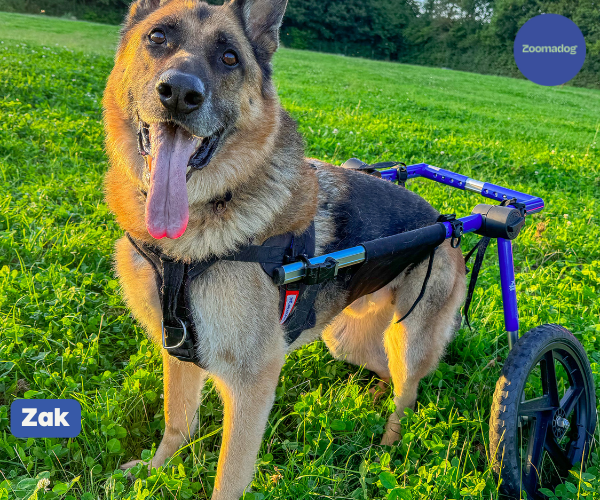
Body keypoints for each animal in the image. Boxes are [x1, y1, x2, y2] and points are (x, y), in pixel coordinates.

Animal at [104, 0, 464, 496]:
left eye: (230, 58)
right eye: (157, 38)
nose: (178, 93)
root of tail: (445, 221)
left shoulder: (252, 381)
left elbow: (229, 476)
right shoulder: (177, 349)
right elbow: (178, 421)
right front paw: (155, 470)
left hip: (410, 340)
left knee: (406, 396)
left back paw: (387, 448)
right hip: (346, 337)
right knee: (384, 371)